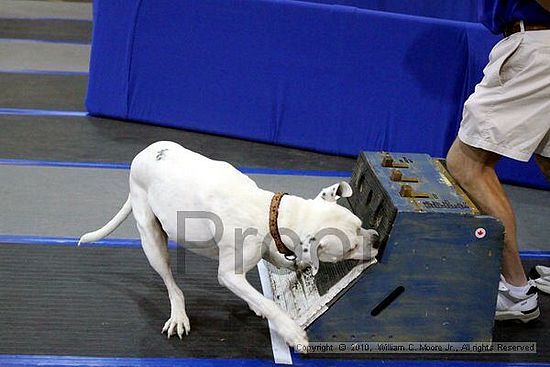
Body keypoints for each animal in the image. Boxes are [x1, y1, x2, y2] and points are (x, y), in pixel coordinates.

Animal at [78, 142, 380, 350]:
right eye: (351, 246)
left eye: (360, 223)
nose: (377, 238)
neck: (269, 212)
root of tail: (141, 156)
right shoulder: (228, 274)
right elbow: (268, 303)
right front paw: (292, 332)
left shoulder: (267, 249)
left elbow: (280, 265)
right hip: (153, 243)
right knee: (172, 286)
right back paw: (179, 314)